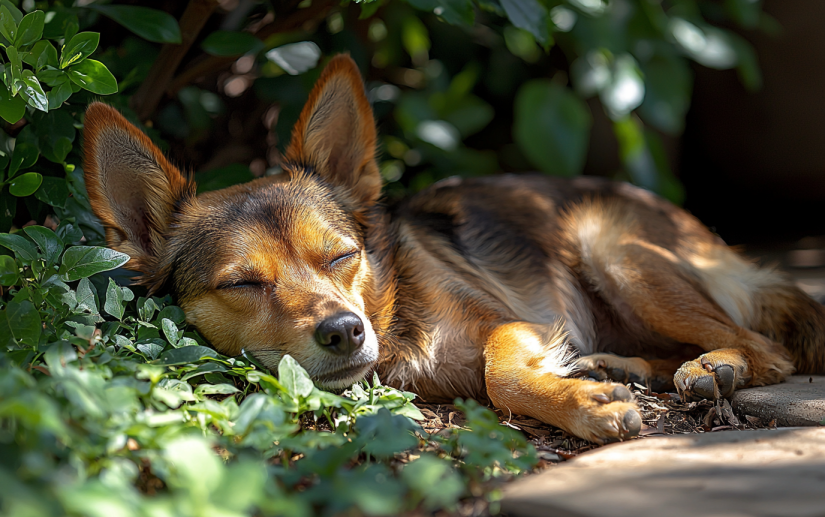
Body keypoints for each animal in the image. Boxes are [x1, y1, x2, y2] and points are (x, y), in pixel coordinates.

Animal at [82, 55, 824, 444]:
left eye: (340, 256)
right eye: (242, 284)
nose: (344, 330)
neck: (396, 321)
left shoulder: (516, 322)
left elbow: (499, 372)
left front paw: (585, 406)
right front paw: (586, 391)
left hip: (612, 247)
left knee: (766, 349)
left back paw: (710, 368)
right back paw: (617, 364)